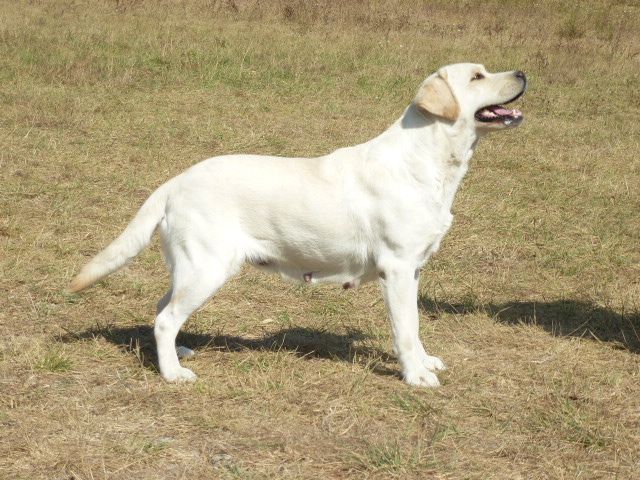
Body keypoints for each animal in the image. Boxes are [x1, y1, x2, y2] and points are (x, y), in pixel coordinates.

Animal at [69, 63, 527, 387]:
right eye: (477, 76)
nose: (523, 73)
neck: (427, 161)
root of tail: (175, 181)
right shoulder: (396, 268)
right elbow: (405, 328)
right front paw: (416, 376)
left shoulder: (414, 269)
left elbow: (415, 327)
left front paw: (425, 360)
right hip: (207, 268)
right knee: (165, 318)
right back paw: (172, 375)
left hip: (190, 268)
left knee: (162, 310)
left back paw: (179, 353)